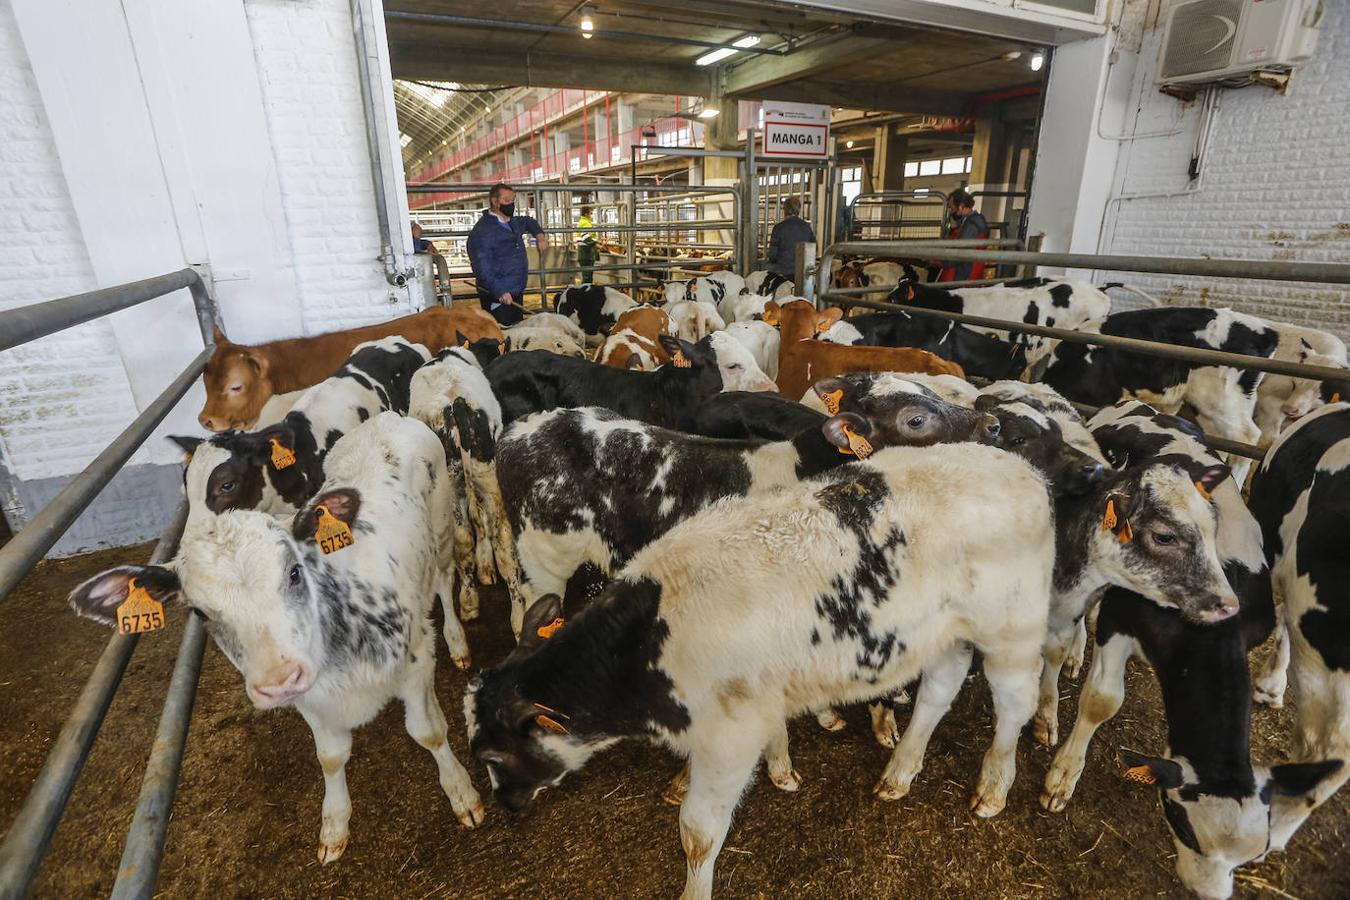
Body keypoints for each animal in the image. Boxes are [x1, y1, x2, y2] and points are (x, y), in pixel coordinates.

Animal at [68, 415, 483, 863]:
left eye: (295, 572)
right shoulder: (310, 698)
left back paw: (458, 641)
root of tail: (388, 418)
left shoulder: (417, 659)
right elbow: (330, 757)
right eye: (200, 612)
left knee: (443, 577)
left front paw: (461, 791)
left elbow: (429, 731)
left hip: (441, 525)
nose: (278, 680)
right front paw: (334, 823)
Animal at [469, 442, 1058, 900]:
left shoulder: (727, 736)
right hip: (945, 634)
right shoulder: (757, 697)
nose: (505, 804)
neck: (653, 637)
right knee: (938, 690)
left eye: (494, 756)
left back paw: (994, 785)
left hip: (1013, 632)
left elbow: (698, 833)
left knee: (1013, 705)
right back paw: (900, 770)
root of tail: (1023, 469)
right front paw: (779, 767)